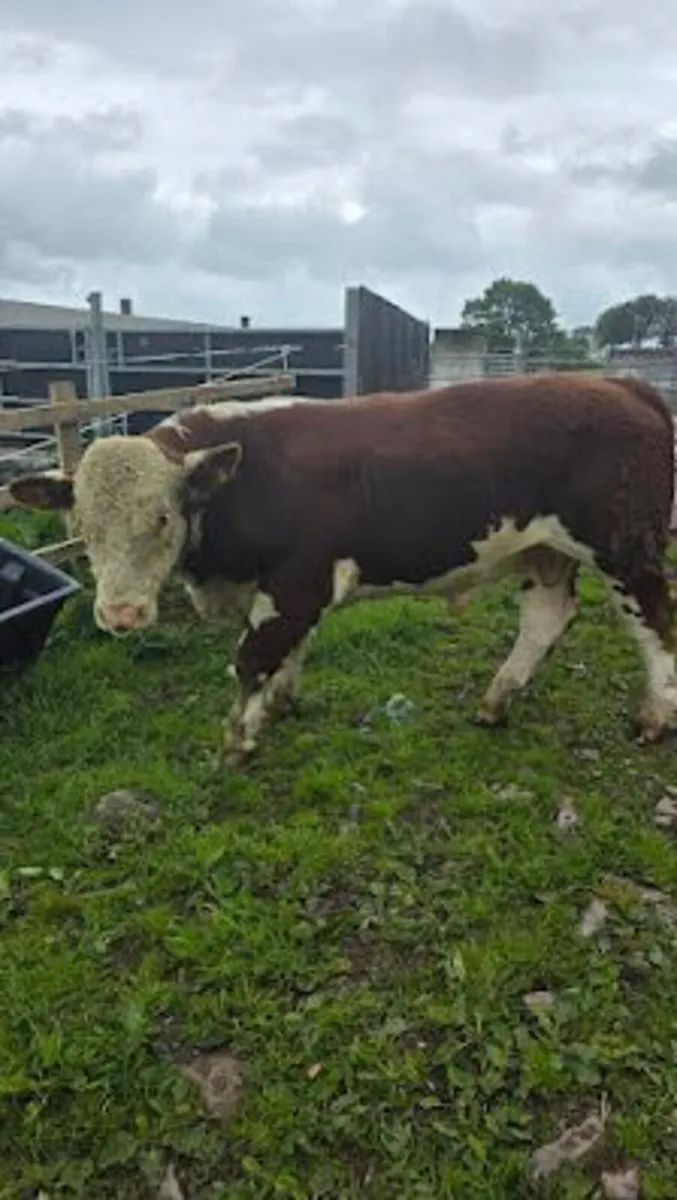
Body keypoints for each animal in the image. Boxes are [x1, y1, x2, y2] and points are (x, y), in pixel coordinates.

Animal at [9, 373, 677, 764]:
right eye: (82, 525)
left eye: (163, 518)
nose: (120, 613)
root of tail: (619, 383)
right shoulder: (279, 591)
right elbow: (285, 652)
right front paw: (278, 705)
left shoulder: (299, 582)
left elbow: (251, 659)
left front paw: (239, 737)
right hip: (544, 551)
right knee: (546, 617)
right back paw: (496, 700)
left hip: (626, 549)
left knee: (656, 626)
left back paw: (654, 717)